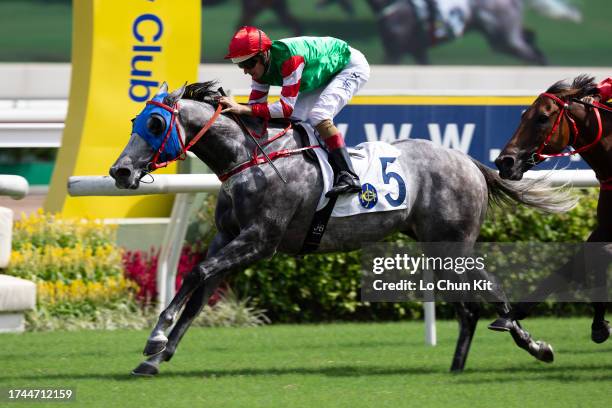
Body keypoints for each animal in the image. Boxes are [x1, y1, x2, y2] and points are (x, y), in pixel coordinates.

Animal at [110, 82, 572, 376]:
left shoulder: (259, 240)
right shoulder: (228, 237)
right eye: (134, 120)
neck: (251, 159)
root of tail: (470, 162)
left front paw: (155, 339)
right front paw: (154, 357)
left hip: (455, 243)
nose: (120, 171)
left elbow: (197, 273)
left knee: (488, 291)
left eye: (155, 124)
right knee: (468, 308)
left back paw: (536, 346)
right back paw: (457, 367)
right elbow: (197, 295)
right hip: (434, 245)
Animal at [494, 75, 608, 344]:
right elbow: (577, 263)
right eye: (523, 115)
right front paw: (510, 316)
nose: (504, 162)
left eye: (542, 118)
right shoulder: (605, 227)